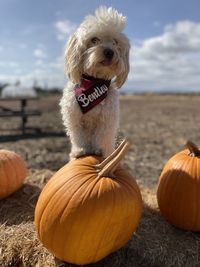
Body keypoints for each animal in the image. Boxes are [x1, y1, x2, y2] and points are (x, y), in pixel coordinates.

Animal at [59, 6, 130, 160]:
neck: (94, 82)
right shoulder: (74, 117)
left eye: (115, 42)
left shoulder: (107, 119)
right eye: (94, 39)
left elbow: (103, 136)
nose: (109, 52)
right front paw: (79, 150)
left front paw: (101, 151)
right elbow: (78, 136)